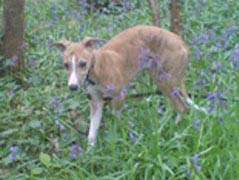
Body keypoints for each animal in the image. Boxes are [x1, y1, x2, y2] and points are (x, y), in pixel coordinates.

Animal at [52, 25, 205, 146]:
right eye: (66, 65)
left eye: (83, 64)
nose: (72, 87)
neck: (96, 68)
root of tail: (182, 42)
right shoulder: (95, 102)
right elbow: (92, 133)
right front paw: (90, 155)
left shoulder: (120, 96)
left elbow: (116, 118)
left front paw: (119, 134)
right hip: (160, 78)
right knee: (177, 105)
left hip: (165, 80)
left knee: (182, 107)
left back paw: (174, 133)